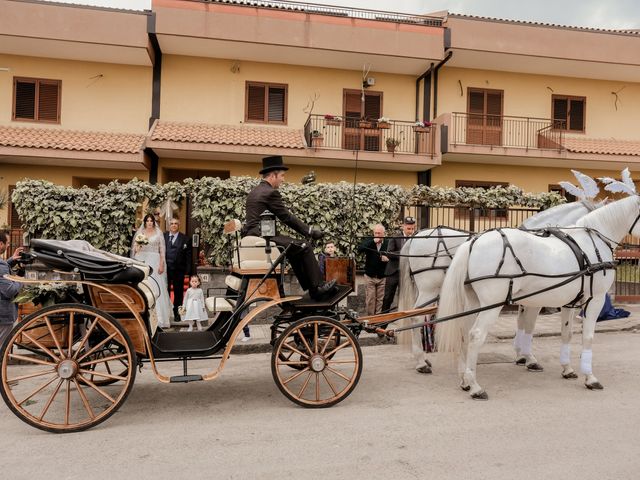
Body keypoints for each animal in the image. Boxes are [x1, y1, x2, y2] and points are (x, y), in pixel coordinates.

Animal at [432, 193, 636, 400]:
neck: (589, 244)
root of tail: (474, 242)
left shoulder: (568, 303)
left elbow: (566, 333)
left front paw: (567, 368)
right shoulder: (595, 299)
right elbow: (587, 337)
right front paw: (590, 378)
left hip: (474, 302)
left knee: (464, 333)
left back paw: (465, 380)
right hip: (492, 305)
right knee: (476, 335)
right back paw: (475, 386)